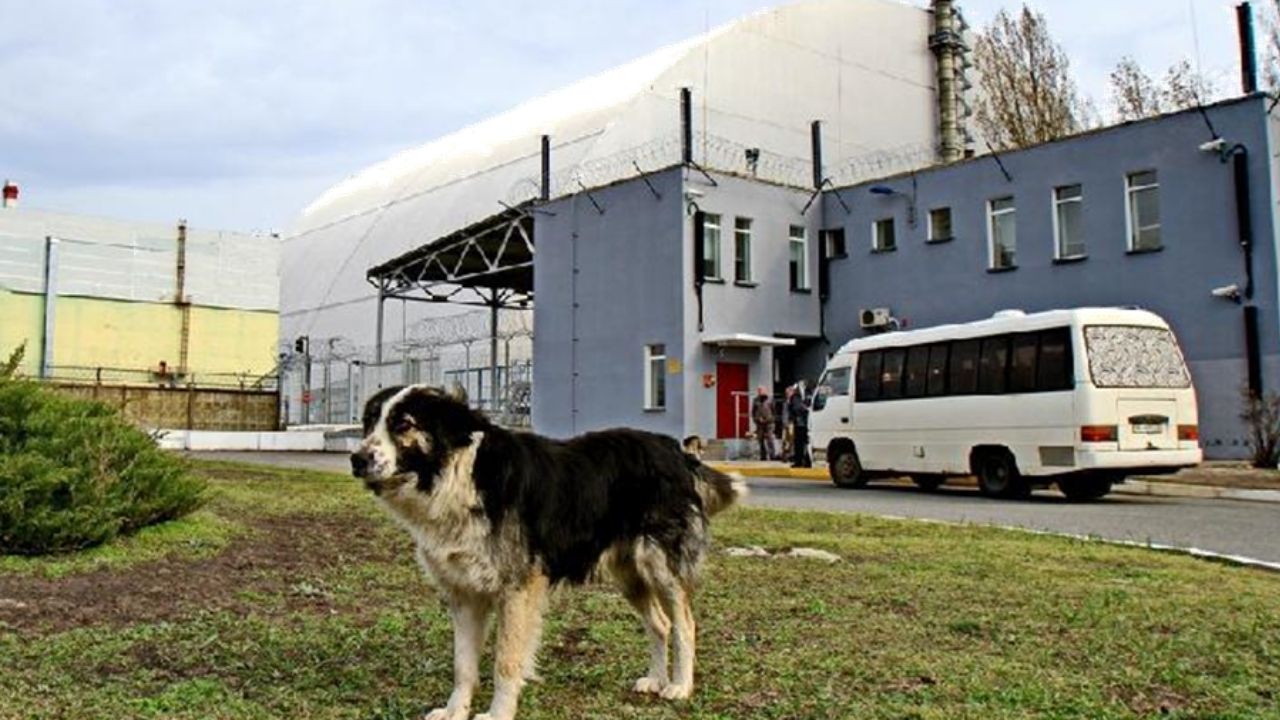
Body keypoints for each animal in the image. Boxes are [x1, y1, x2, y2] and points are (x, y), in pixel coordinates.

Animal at [350, 386, 747, 717]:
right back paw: (656, 679)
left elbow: (506, 661)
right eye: (369, 422)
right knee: (660, 624)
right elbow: (463, 665)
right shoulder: (463, 594)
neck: (458, 477)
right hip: (629, 574)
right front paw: (454, 712)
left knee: (684, 625)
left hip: (661, 566)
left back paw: (679, 686)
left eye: (403, 424)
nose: (356, 459)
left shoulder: (516, 589)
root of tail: (678, 453)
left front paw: (497, 715)